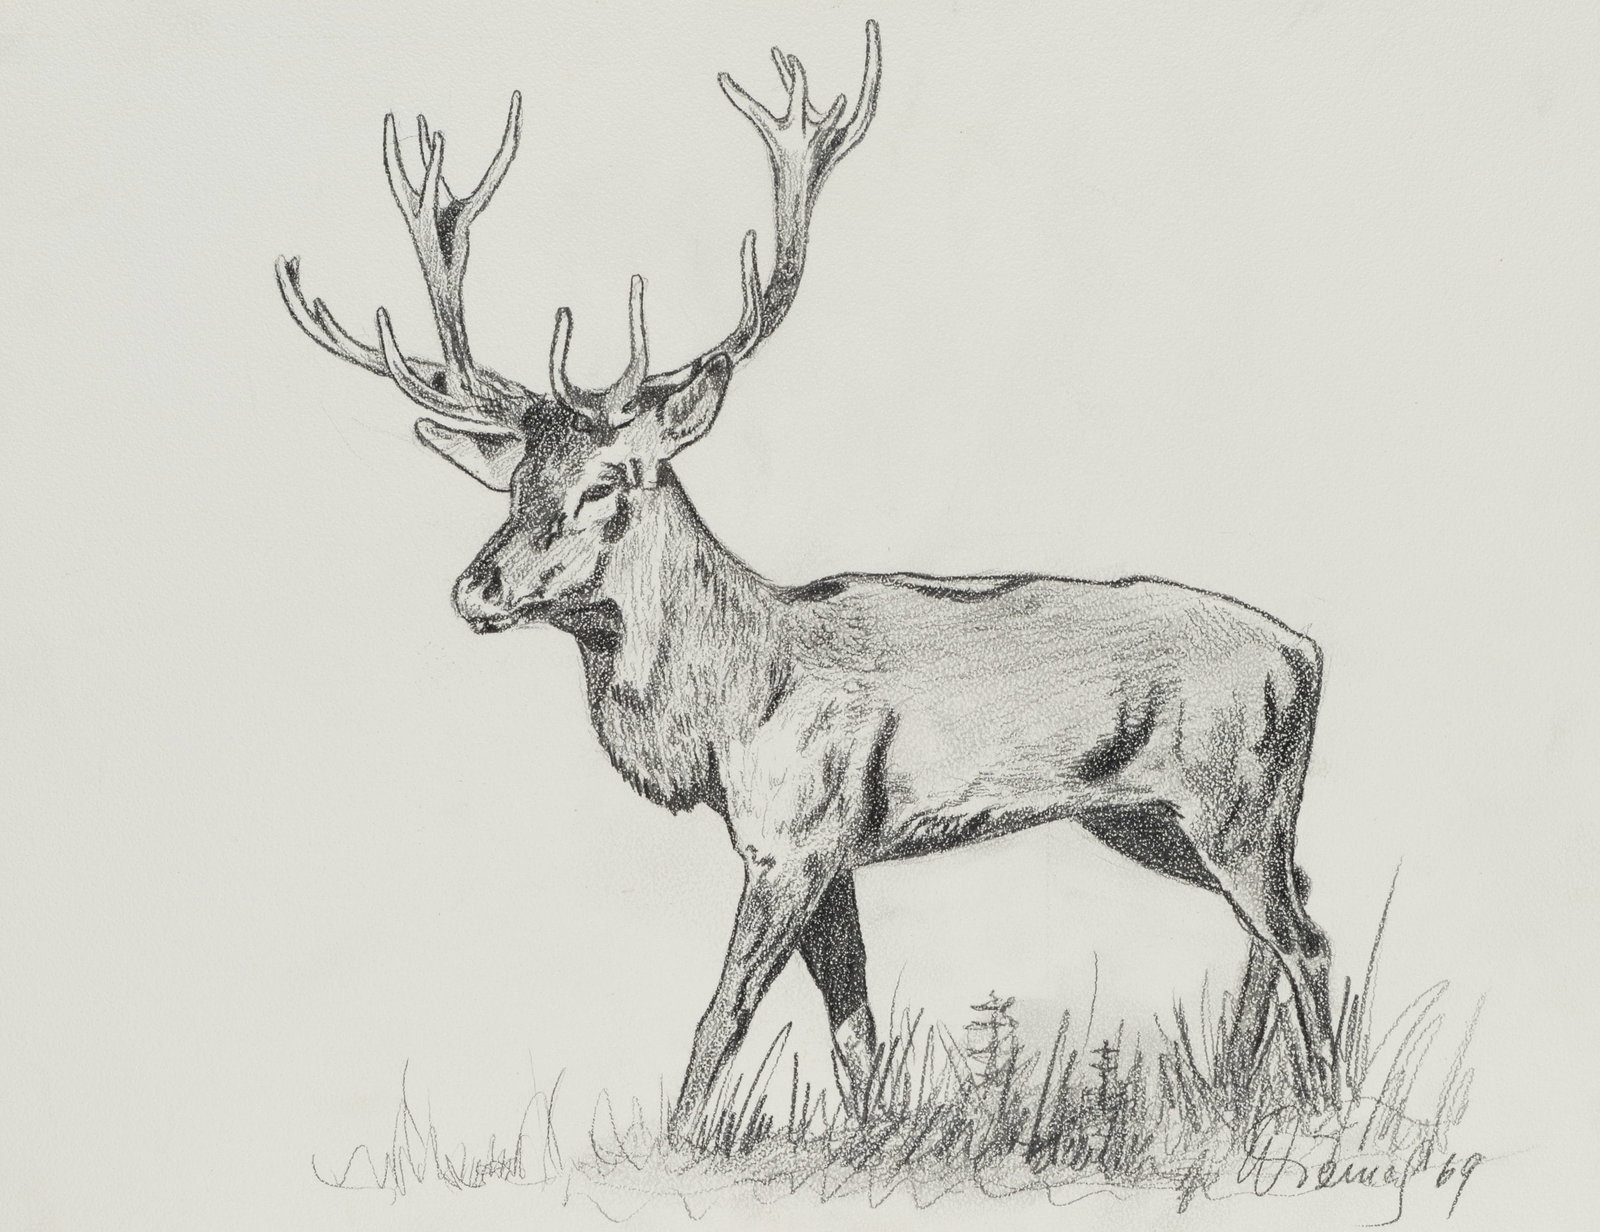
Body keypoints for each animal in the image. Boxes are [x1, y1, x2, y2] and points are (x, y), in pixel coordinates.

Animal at [276, 20, 1337, 1140]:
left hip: (1229, 800)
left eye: (606, 481)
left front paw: (678, 1144)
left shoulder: (793, 840)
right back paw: (1233, 1094)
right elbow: (856, 1025)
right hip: (1160, 817)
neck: (729, 707)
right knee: (1287, 917)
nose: (475, 588)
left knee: (1303, 939)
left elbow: (723, 1014)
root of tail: (1307, 651)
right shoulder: (832, 858)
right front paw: (876, 1139)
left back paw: (1323, 1107)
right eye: (516, 481)